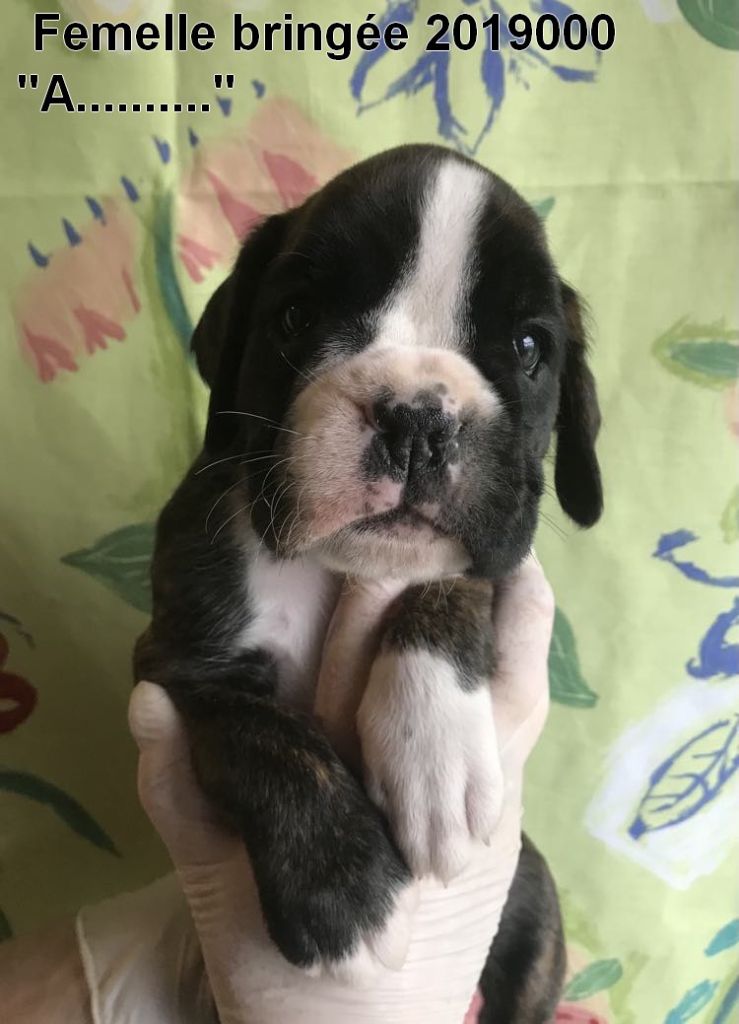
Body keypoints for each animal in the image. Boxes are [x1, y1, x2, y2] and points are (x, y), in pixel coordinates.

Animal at [135, 143, 602, 1021]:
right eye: (295, 318)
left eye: (528, 347)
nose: (418, 418)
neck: (334, 571)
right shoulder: (180, 661)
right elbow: (264, 737)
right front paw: (344, 891)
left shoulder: (495, 552)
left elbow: (448, 585)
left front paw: (433, 745)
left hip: (534, 907)